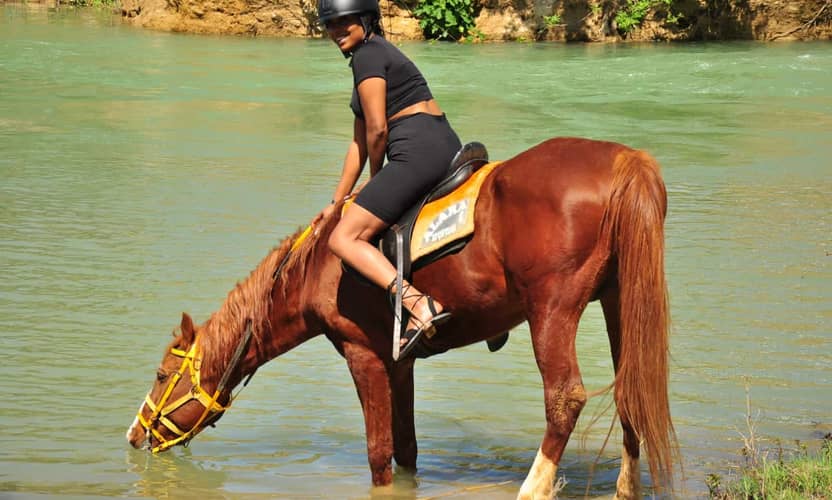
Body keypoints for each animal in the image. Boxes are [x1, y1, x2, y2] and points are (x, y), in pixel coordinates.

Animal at [126, 137, 677, 499]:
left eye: (161, 375)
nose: (134, 434)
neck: (317, 266)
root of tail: (625, 160)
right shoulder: (401, 362)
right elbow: (406, 448)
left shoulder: (363, 355)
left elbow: (378, 454)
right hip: (619, 299)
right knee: (630, 388)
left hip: (552, 309)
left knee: (564, 399)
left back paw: (534, 487)